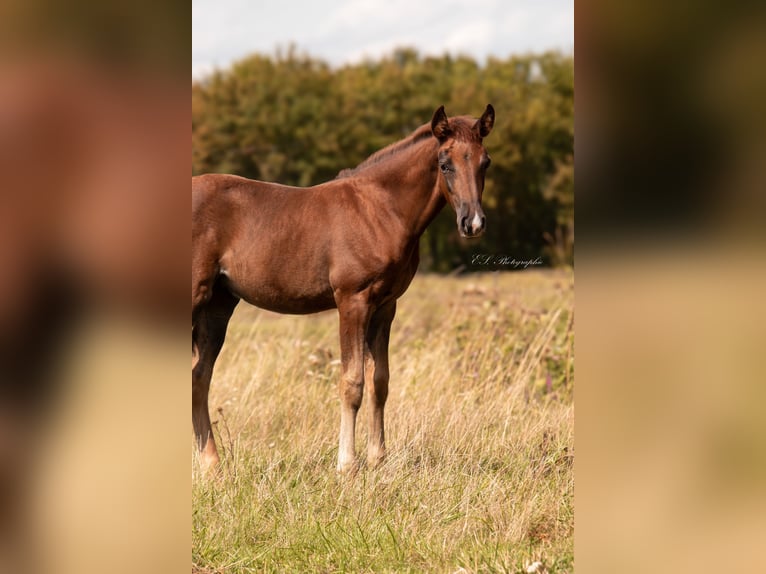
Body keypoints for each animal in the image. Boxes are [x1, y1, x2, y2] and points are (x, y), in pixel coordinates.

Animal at [192, 106, 498, 474]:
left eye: (485, 162)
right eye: (444, 164)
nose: (473, 223)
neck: (380, 210)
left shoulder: (385, 306)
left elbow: (380, 381)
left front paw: (378, 458)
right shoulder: (352, 300)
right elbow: (352, 382)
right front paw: (347, 464)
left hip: (218, 305)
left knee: (199, 376)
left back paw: (211, 464)